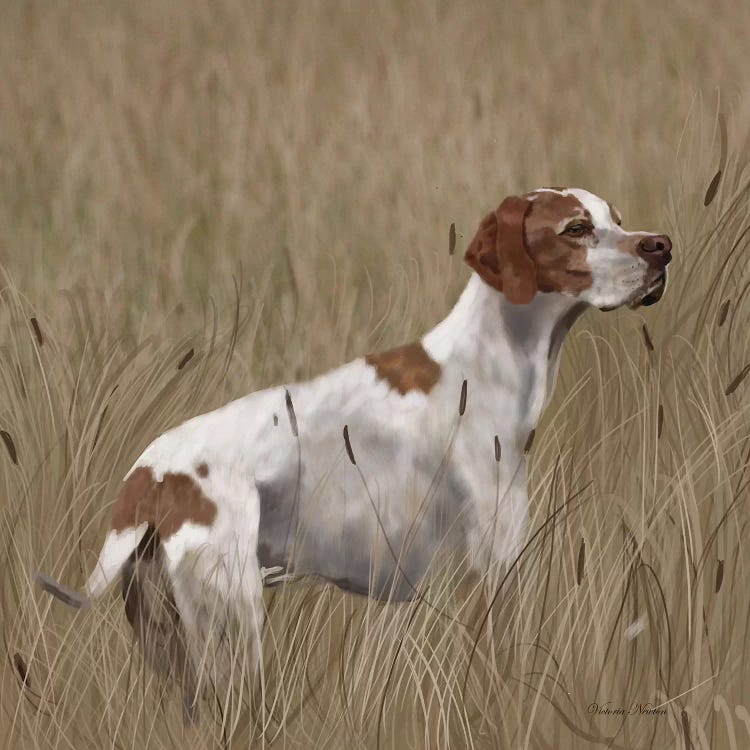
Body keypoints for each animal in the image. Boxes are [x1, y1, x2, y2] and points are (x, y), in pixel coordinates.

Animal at [35, 187, 672, 716]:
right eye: (576, 228)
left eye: (617, 219)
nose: (661, 247)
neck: (488, 364)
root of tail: (149, 477)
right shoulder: (493, 572)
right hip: (232, 622)